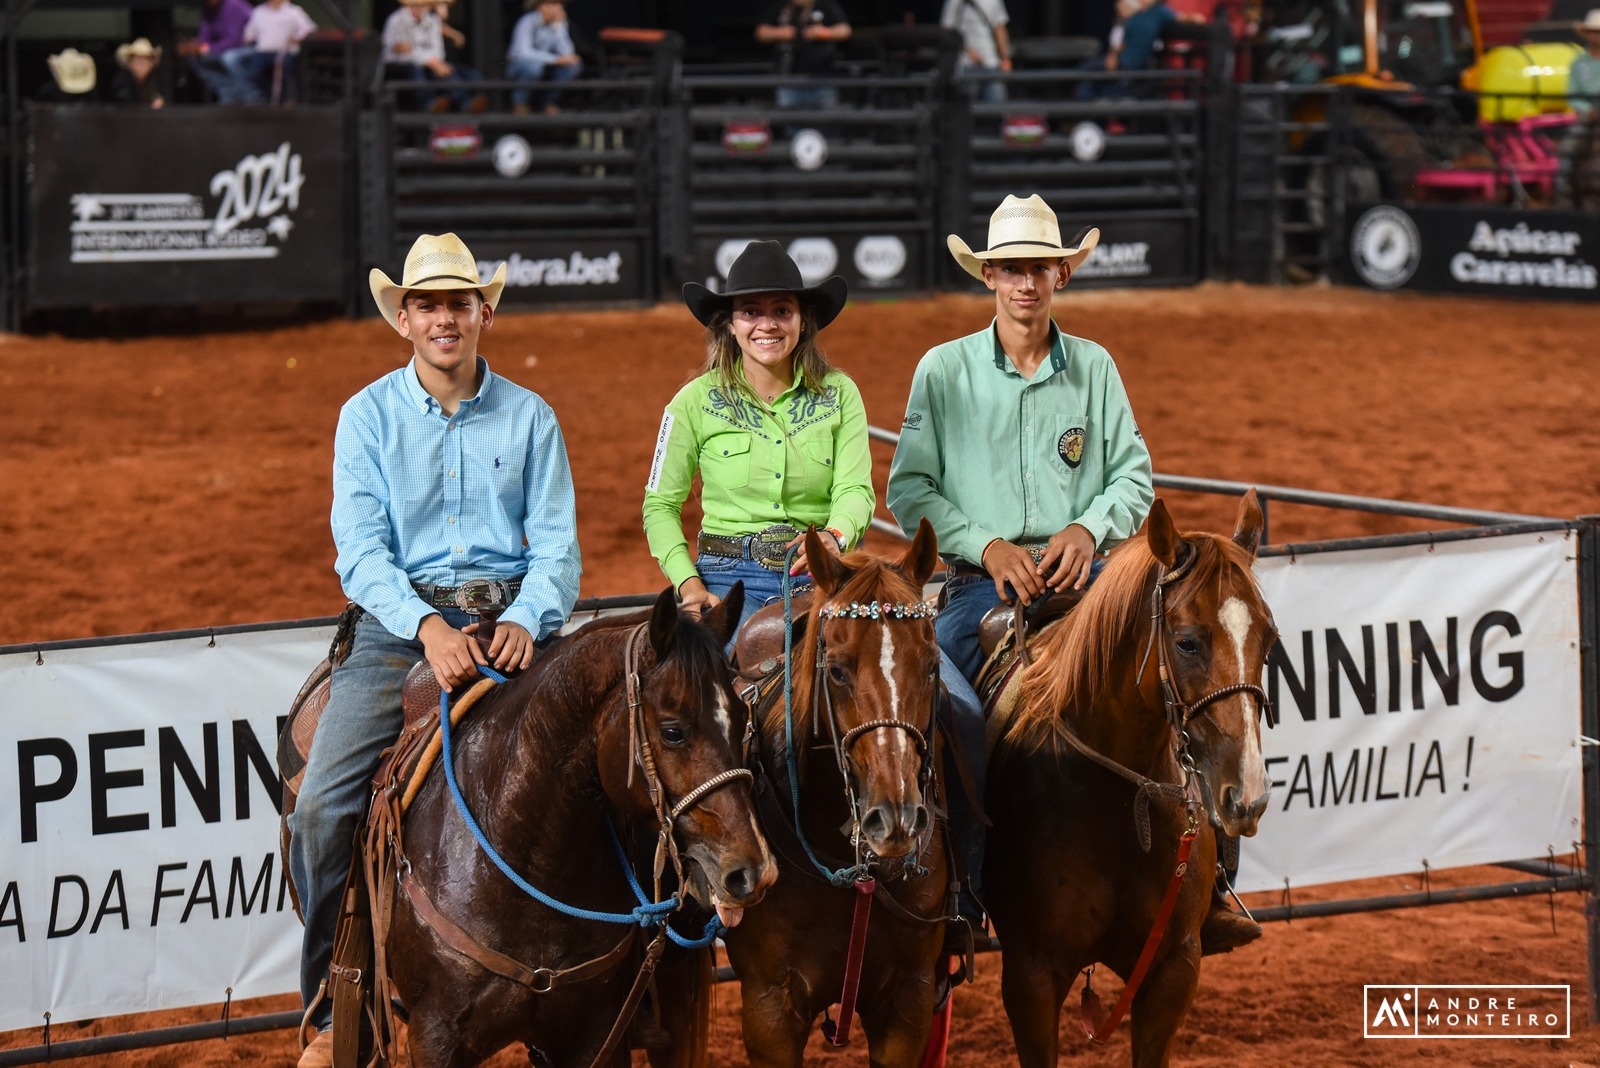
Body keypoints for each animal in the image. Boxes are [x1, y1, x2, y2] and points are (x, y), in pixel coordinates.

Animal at [985, 492, 1273, 1068]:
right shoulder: (1030, 977)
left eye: (1269, 638)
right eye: (1186, 643)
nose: (1248, 796)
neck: (1117, 802)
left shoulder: (1173, 970)